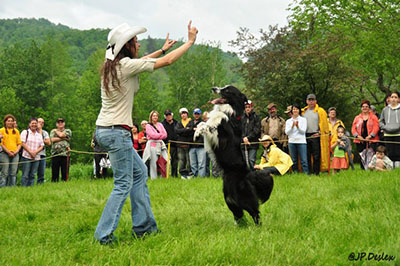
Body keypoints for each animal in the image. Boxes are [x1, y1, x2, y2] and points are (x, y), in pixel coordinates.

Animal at [195, 85, 276, 224]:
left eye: (227, 90)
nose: (214, 88)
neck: (229, 111)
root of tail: (249, 174)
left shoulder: (221, 137)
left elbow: (208, 126)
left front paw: (199, 131)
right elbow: (203, 123)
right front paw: (196, 132)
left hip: (243, 198)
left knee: (255, 212)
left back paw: (258, 227)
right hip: (229, 199)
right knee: (238, 213)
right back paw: (239, 225)